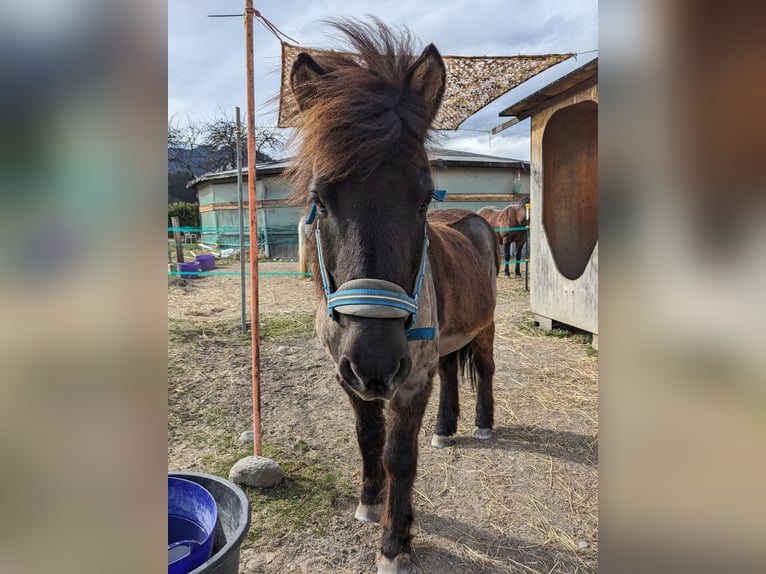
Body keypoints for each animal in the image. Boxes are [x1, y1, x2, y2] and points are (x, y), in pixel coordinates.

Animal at [287, 18, 500, 574]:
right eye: (320, 199)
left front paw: (394, 543)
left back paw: (483, 426)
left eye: (424, 197)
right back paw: (445, 429)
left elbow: (399, 457)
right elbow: (369, 440)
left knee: (484, 370)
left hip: (484, 330)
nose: (376, 361)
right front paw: (368, 503)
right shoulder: (349, 376)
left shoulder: (410, 380)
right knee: (452, 373)